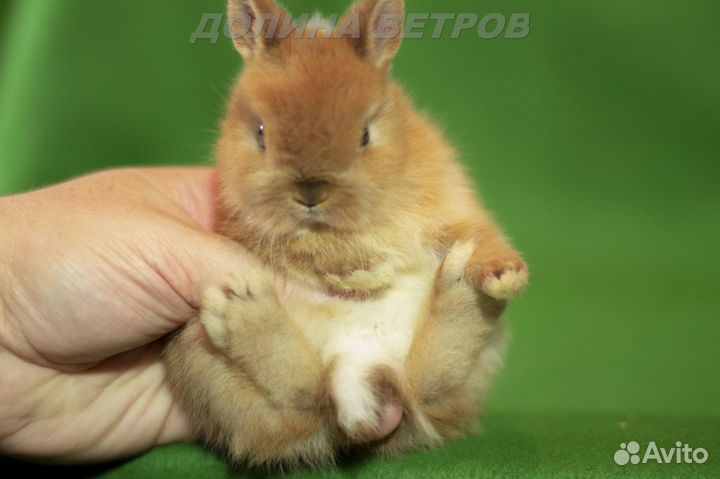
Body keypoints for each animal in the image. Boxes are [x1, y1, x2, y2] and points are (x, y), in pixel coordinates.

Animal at [164, 0, 529, 469]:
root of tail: (360, 378)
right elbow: (305, 247)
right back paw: (242, 309)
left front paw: (505, 275)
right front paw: (363, 272)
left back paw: (463, 286)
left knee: (428, 386)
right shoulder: (249, 229)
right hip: (198, 354)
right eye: (261, 133)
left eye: (365, 134)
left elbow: (480, 233)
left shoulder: (451, 209)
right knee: (302, 401)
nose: (309, 192)